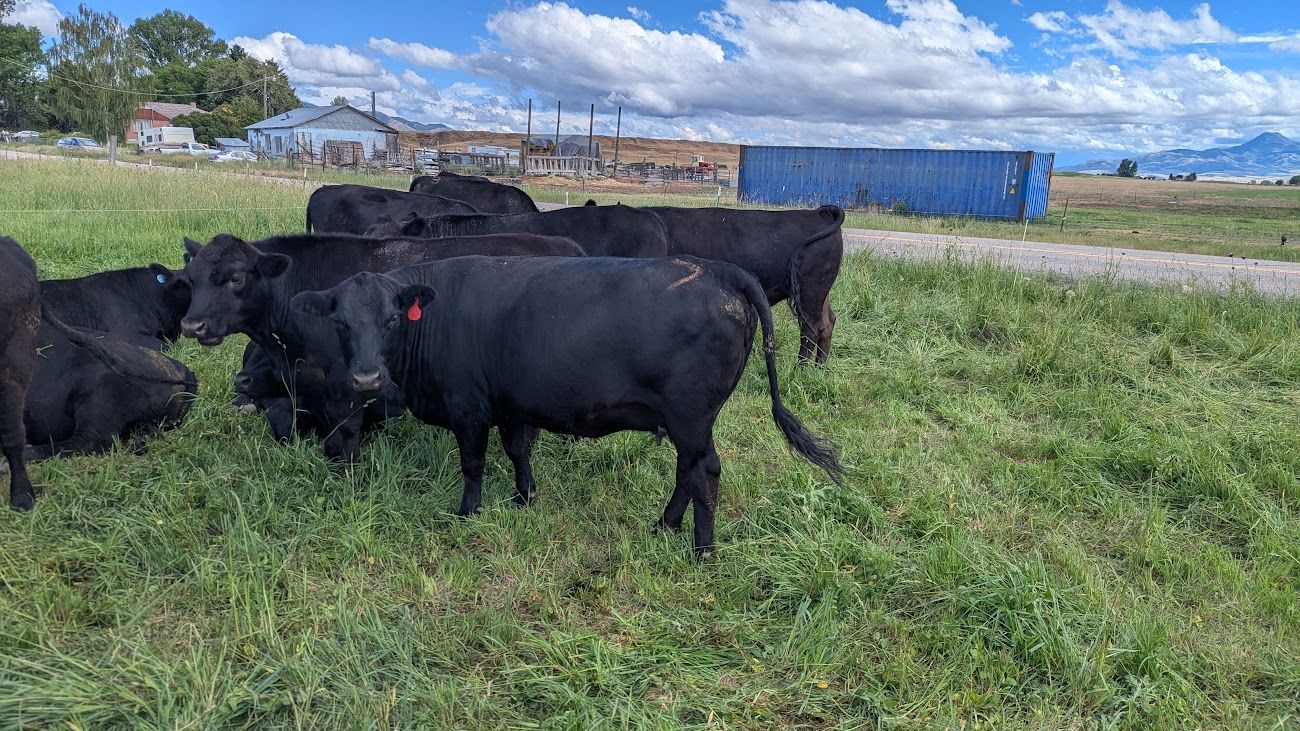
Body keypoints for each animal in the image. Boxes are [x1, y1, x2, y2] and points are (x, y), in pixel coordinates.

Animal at [291, 255, 844, 555]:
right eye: (341, 323)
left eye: (391, 319)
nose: (365, 376)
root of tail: (721, 271)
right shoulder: (512, 404)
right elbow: (518, 451)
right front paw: (524, 499)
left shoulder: (468, 408)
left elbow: (473, 464)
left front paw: (468, 513)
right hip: (685, 421)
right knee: (687, 472)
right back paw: (664, 524)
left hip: (691, 416)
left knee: (703, 473)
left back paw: (701, 550)